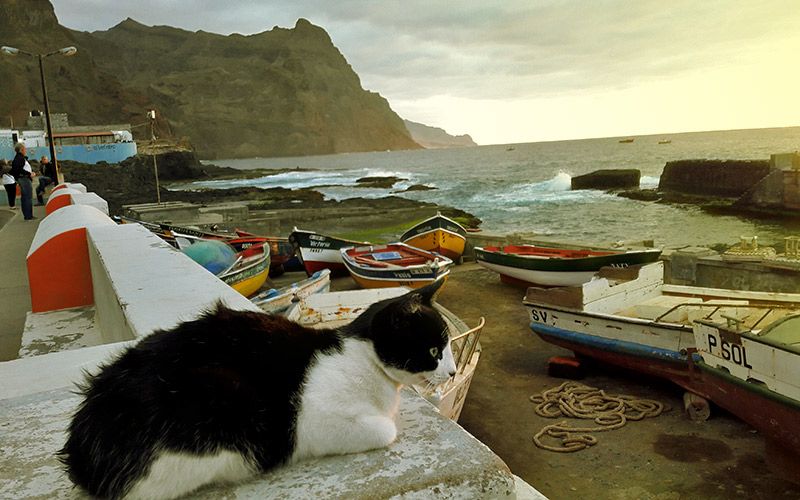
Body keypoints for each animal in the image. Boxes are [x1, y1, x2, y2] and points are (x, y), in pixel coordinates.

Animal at [59, 280, 454, 498]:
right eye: (433, 352)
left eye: (448, 347)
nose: (451, 372)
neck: (364, 358)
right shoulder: (317, 421)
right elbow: (385, 430)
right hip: (223, 403)